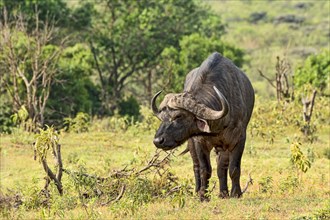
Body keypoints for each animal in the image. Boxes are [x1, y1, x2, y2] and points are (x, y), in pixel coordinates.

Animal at [151, 52, 254, 200]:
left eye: (178, 116)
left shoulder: (239, 139)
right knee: (196, 166)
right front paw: (202, 195)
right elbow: (205, 169)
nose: (158, 141)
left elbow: (233, 168)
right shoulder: (199, 141)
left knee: (221, 167)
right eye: (162, 117)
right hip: (192, 144)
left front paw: (236, 193)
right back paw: (197, 190)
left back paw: (223, 193)